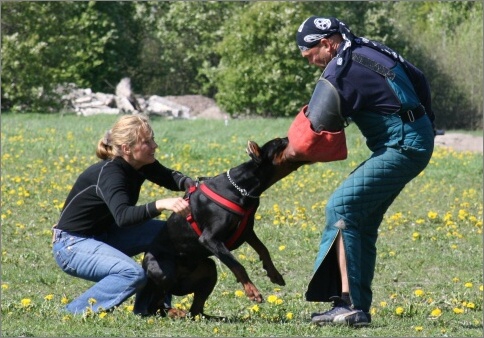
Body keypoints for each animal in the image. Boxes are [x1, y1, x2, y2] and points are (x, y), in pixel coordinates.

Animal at [135, 137, 302, 320]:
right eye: (279, 142)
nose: (289, 138)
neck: (241, 187)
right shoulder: (210, 238)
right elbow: (237, 265)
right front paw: (252, 291)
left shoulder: (246, 231)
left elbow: (263, 249)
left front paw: (274, 274)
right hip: (165, 273)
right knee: (155, 305)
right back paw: (173, 311)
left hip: (208, 270)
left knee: (195, 311)